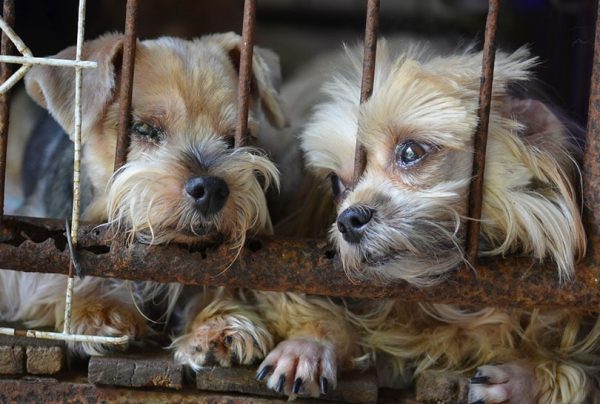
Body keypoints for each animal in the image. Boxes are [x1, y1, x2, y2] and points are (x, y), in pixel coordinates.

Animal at [0, 32, 286, 360]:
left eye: (235, 139)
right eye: (144, 128)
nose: (212, 189)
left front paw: (220, 322)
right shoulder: (35, 237)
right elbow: (52, 269)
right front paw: (99, 311)